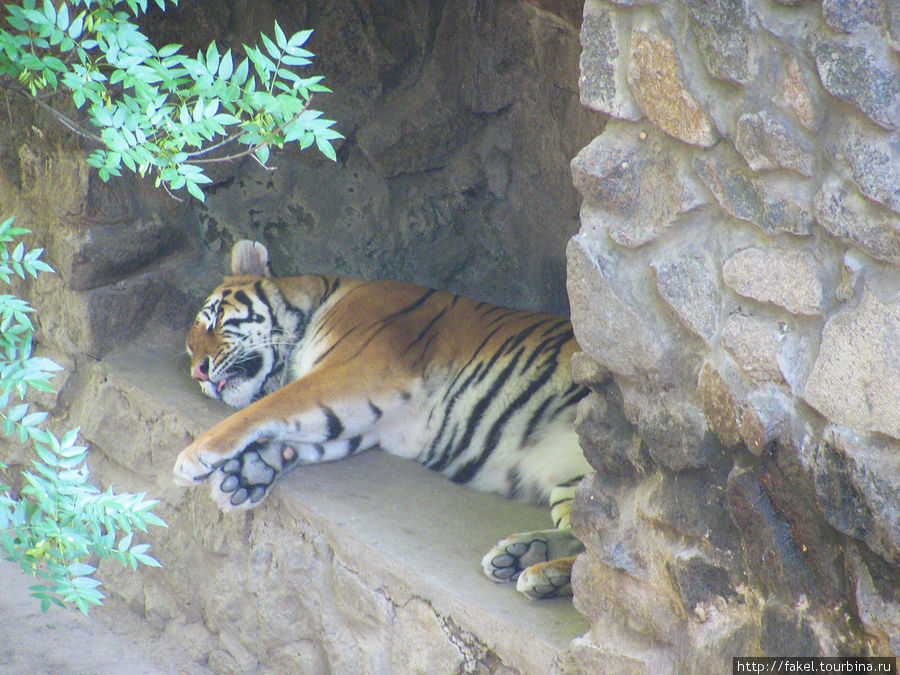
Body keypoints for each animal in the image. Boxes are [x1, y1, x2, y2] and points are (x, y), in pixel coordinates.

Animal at [172, 240, 596, 600]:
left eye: (213, 320)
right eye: (190, 349)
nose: (198, 372)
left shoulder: (355, 373)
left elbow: (266, 408)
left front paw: (194, 458)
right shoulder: (368, 423)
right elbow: (292, 439)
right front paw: (245, 476)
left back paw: (542, 573)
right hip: (572, 486)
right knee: (588, 543)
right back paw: (523, 555)